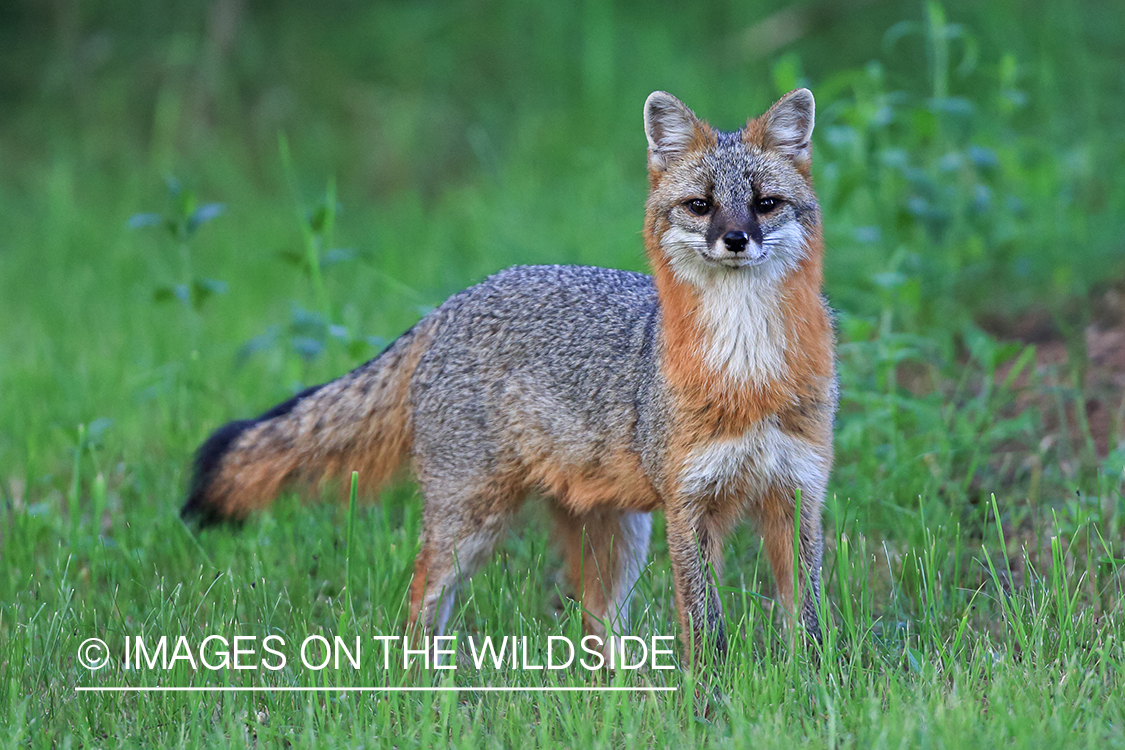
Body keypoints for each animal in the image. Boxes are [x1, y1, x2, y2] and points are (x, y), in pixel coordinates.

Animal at [182, 88, 837, 668]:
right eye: (702, 205)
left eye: (765, 203)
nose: (735, 239)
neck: (748, 372)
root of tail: (450, 304)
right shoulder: (691, 503)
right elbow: (706, 628)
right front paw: (709, 702)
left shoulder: (797, 493)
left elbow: (806, 618)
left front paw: (808, 685)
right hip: (471, 522)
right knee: (421, 603)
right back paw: (424, 691)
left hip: (617, 536)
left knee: (597, 628)